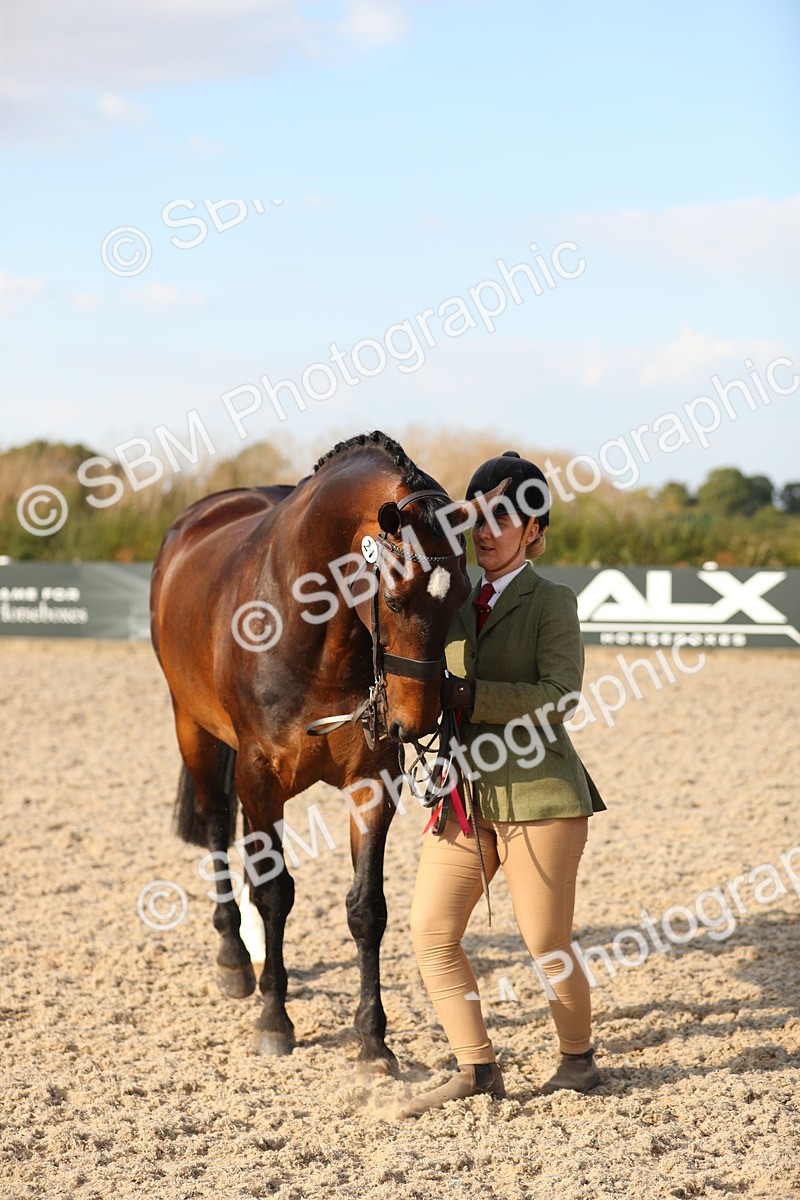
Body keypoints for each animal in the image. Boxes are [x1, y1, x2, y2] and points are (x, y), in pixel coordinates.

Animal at [150, 430, 471, 1072]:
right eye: (394, 600)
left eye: (462, 601)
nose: (416, 721)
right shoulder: (259, 775)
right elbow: (274, 892)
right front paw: (275, 1019)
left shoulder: (373, 781)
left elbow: (367, 907)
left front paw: (372, 1039)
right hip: (193, 728)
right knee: (217, 824)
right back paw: (233, 956)